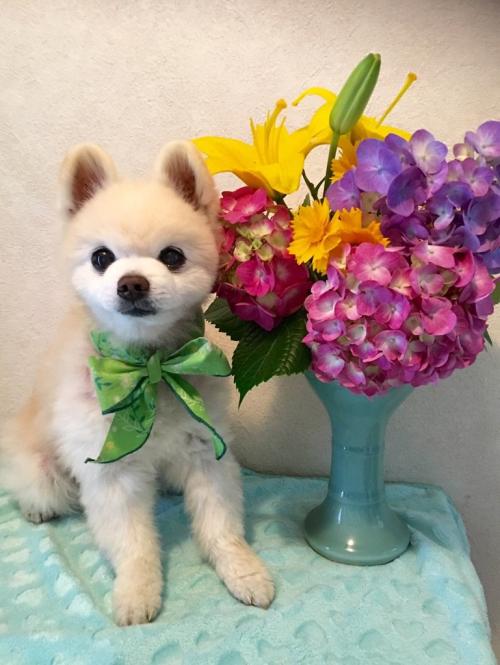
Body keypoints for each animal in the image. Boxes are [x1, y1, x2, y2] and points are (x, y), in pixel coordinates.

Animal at [0, 141, 274, 625]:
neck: (150, 366)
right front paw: (137, 590)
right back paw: (35, 508)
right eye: (101, 258)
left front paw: (243, 570)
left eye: (172, 256)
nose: (131, 284)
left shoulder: (206, 449)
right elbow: (133, 544)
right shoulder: (112, 471)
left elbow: (221, 525)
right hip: (45, 474)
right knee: (35, 488)